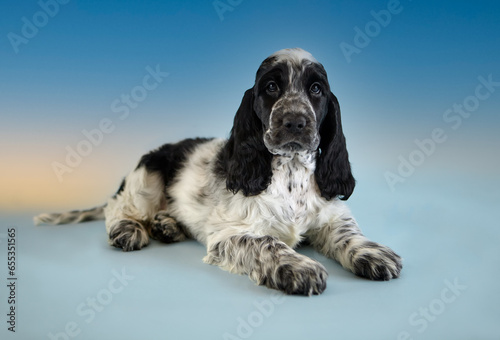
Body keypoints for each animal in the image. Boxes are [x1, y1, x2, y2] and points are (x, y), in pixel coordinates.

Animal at [34, 47, 402, 294]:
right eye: (271, 87)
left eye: (316, 89)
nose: (295, 122)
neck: (291, 171)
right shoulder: (232, 233)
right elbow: (268, 243)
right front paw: (299, 267)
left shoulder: (331, 213)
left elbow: (347, 232)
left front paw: (373, 252)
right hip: (146, 177)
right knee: (118, 207)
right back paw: (130, 229)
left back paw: (167, 225)